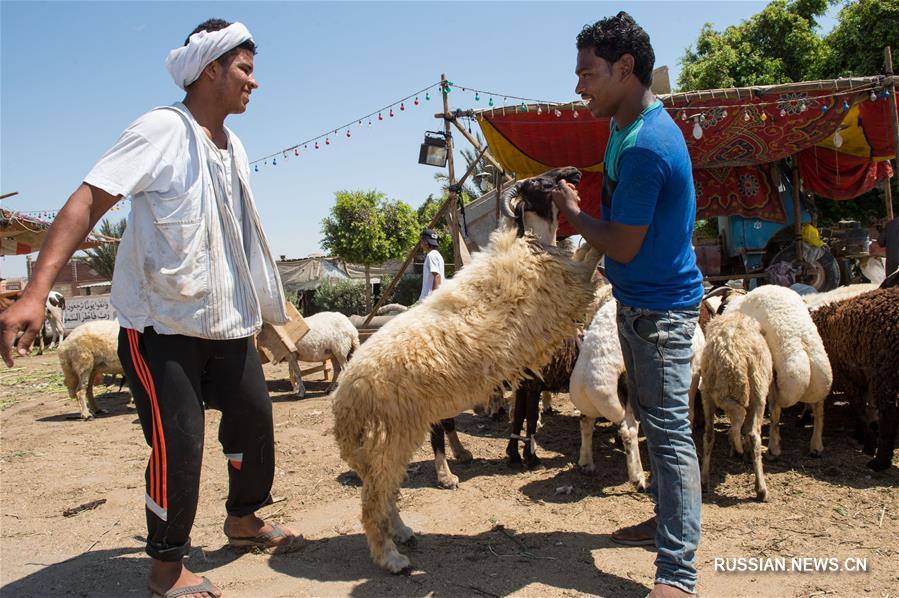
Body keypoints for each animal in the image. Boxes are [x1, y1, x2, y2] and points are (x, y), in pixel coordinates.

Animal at [700, 310, 776, 502]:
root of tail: (734, 351)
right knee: (751, 431)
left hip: (712, 391)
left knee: (712, 434)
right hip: (756, 391)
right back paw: (761, 489)